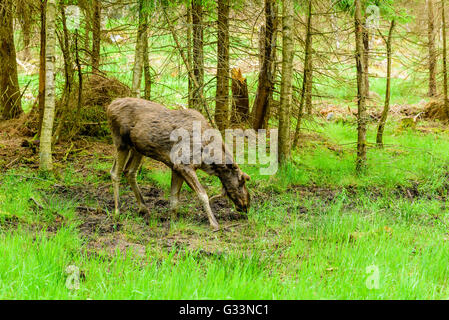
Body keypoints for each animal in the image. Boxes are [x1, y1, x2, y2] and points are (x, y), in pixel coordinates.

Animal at [106, 97, 250, 230]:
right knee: (115, 173)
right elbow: (202, 194)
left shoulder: (176, 167)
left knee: (129, 171)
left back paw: (144, 208)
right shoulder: (183, 165)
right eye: (242, 181)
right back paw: (117, 212)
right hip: (121, 142)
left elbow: (174, 198)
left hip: (137, 149)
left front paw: (174, 221)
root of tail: (110, 105)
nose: (247, 205)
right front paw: (214, 224)